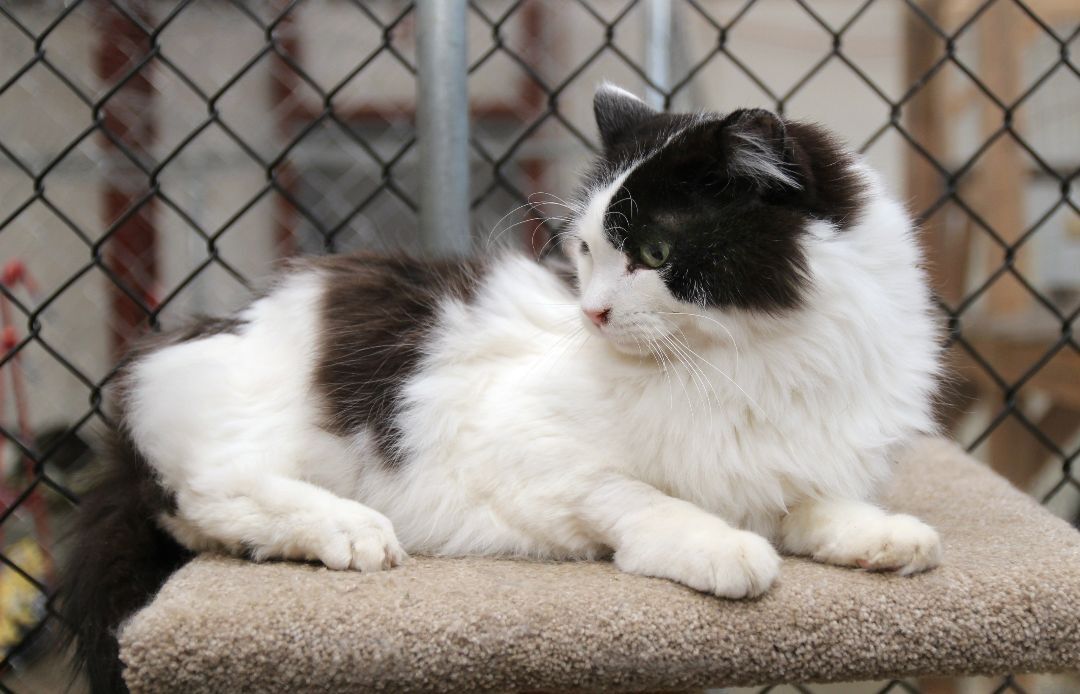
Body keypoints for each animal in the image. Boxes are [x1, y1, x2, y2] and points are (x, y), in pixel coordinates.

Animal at [63, 84, 941, 690]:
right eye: (587, 252)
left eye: (654, 254)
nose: (592, 312)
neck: (747, 358)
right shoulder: (529, 453)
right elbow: (645, 499)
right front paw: (724, 548)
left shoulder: (785, 462)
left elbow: (815, 505)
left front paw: (888, 537)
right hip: (255, 430)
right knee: (206, 496)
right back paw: (353, 532)